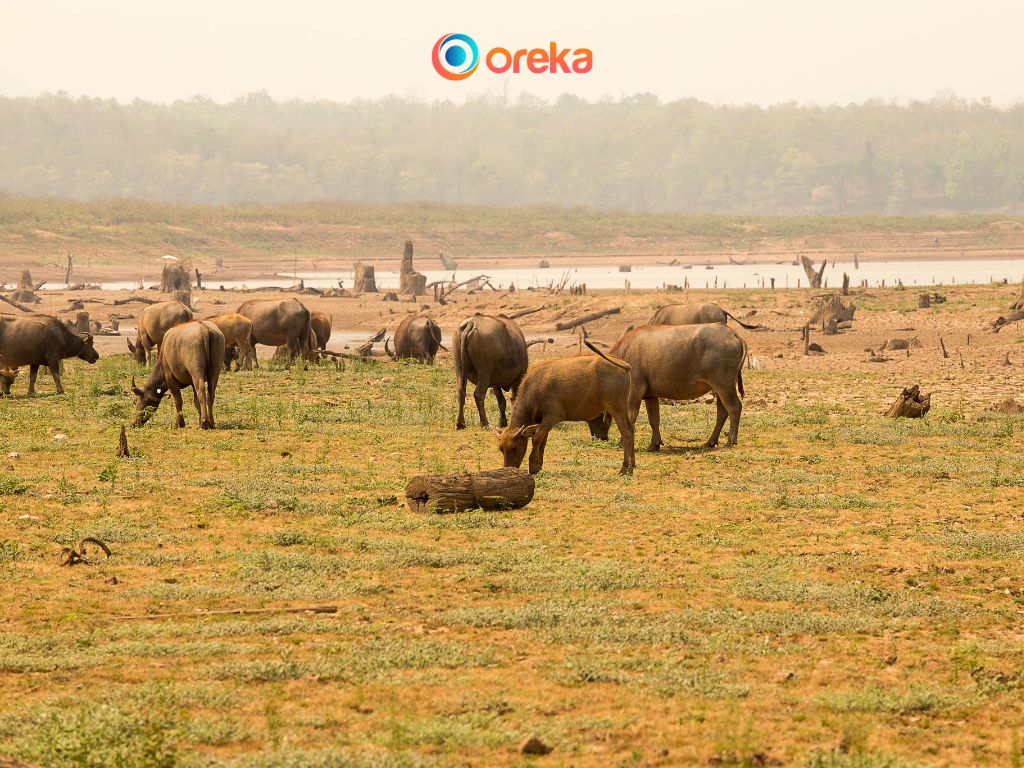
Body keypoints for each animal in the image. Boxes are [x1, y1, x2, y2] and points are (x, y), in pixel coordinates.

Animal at [495, 342, 630, 475]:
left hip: (617, 409)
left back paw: (624, 470)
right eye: (501, 449)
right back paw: (631, 467)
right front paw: (539, 466)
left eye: (514, 448)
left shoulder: (552, 417)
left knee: (626, 432)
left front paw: (533, 466)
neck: (535, 388)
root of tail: (623, 364)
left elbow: (537, 438)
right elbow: (543, 440)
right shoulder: (543, 422)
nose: (508, 468)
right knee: (631, 430)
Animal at [589, 323, 749, 450]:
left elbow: (631, 416)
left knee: (734, 408)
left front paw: (622, 443)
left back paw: (731, 441)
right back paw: (710, 442)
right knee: (722, 411)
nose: (597, 437)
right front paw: (654, 444)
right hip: (721, 388)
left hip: (724, 385)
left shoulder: (634, 392)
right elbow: (654, 419)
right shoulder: (651, 396)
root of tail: (732, 333)